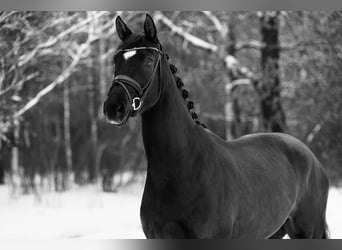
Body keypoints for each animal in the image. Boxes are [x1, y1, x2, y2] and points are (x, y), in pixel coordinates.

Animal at [103, 14, 330, 238]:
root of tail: (312, 159)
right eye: (116, 60)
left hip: (307, 231)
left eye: (149, 61)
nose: (114, 108)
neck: (182, 167)